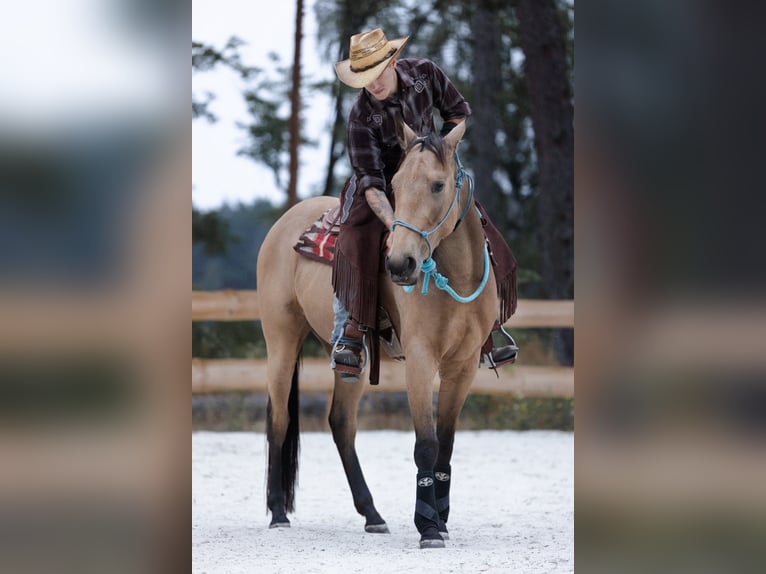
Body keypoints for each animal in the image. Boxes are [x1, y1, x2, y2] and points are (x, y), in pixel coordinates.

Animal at [256, 120, 500, 549]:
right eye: (396, 185)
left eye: (438, 185)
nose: (401, 264)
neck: (456, 275)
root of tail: (286, 223)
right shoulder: (420, 360)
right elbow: (426, 444)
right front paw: (428, 526)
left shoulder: (464, 365)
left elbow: (446, 442)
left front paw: (442, 518)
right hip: (281, 340)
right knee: (279, 420)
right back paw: (279, 513)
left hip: (348, 358)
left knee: (341, 423)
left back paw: (372, 514)